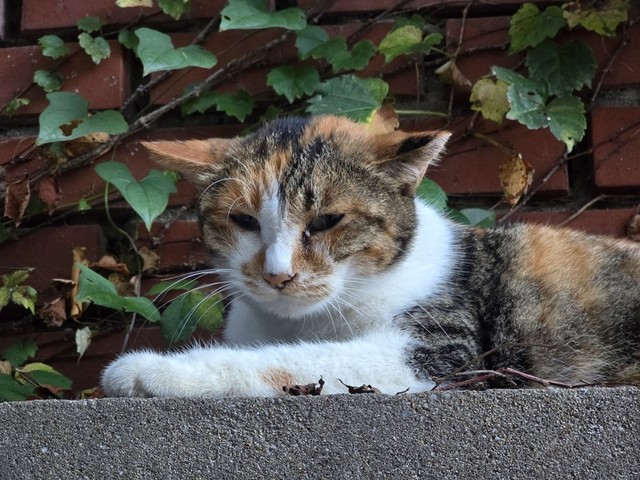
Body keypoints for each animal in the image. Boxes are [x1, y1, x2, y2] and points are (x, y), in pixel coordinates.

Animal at [101, 115, 640, 398]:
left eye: (326, 221)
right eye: (244, 221)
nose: (277, 274)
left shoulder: (438, 353)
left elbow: (286, 360)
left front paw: (148, 371)